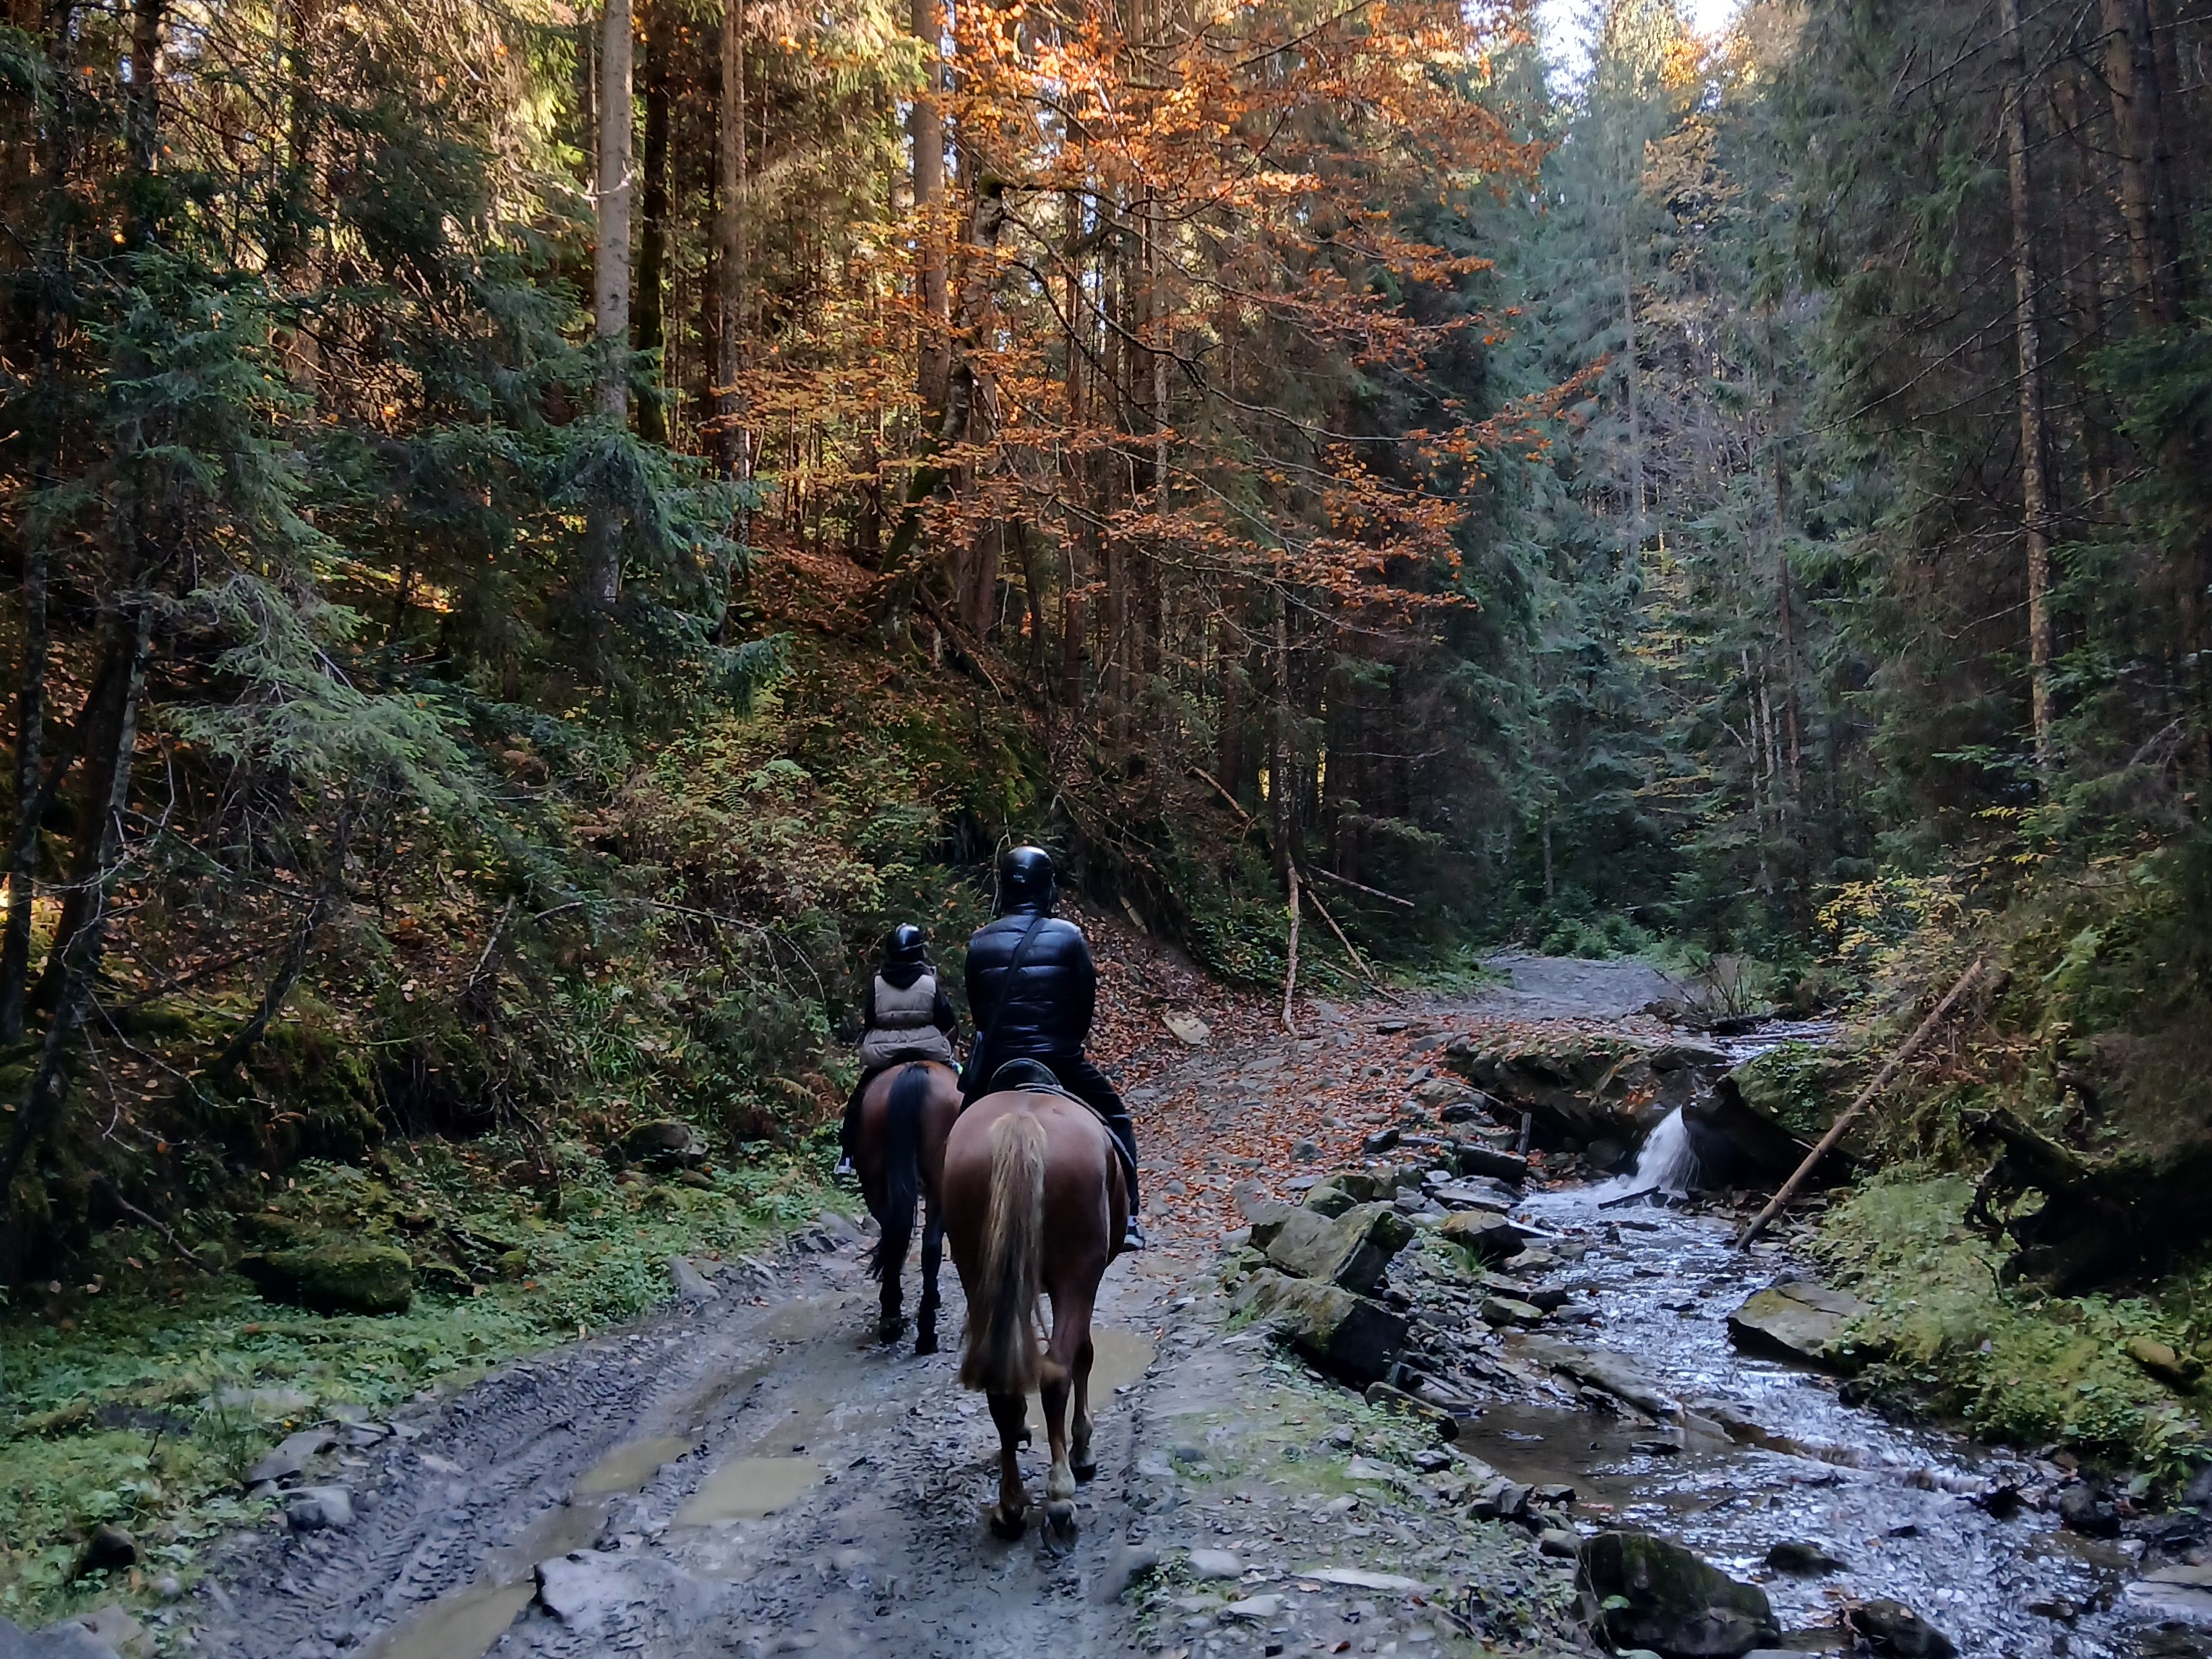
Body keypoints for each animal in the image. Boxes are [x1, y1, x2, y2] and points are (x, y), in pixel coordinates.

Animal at [854, 1066, 960, 1353]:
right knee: (931, 1246)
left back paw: (891, 1319)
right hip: (939, 1182)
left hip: (874, 1181)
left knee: (892, 1236)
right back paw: (926, 1334)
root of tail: (915, 1072)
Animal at [942, 1079, 1132, 1548]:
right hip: (1076, 1275)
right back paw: (1062, 1494)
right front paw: (1083, 1449)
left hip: (978, 1273)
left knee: (1001, 1387)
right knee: (1057, 1370)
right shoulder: (1087, 1280)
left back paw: (1010, 1506)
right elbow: (1084, 1354)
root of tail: (1021, 1121)